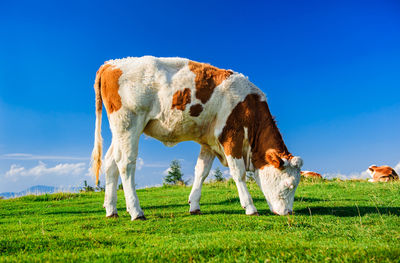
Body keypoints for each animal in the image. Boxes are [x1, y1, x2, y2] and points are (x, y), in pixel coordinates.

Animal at [91, 56, 304, 221]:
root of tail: (111, 63)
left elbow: (201, 172)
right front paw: (250, 207)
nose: (289, 213)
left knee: (111, 163)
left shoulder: (209, 142)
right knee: (126, 164)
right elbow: (239, 173)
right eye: (289, 185)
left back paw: (111, 210)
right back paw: (136, 211)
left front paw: (194, 205)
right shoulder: (231, 135)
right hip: (129, 123)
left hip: (119, 131)